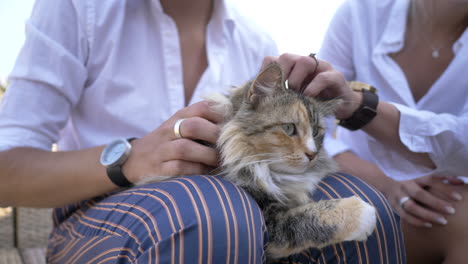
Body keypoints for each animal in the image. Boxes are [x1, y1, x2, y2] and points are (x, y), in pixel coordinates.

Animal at [208, 63, 376, 260]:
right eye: (288, 128)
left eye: (316, 131)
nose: (312, 154)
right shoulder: (269, 224)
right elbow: (308, 217)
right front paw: (364, 212)